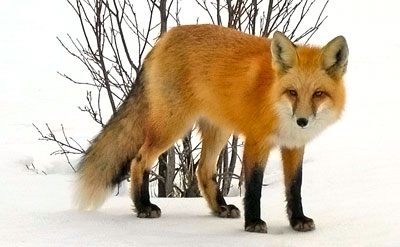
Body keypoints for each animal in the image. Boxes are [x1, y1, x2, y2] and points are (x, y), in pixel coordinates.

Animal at [74, 24, 346, 233]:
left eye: (318, 94)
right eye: (292, 92)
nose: (302, 121)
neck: (272, 98)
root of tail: (164, 37)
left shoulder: (294, 146)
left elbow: (294, 187)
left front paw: (297, 220)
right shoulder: (256, 142)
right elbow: (254, 187)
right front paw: (254, 223)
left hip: (218, 131)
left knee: (202, 169)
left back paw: (220, 208)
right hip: (173, 125)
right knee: (139, 160)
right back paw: (143, 207)